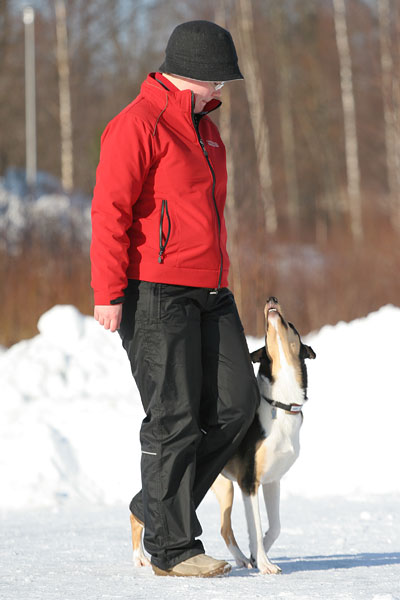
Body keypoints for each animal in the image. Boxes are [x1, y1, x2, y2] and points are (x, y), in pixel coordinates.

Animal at [129, 296, 316, 574]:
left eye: (290, 325)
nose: (271, 299)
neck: (279, 403)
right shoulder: (249, 482)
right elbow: (257, 526)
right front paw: (265, 564)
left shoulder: (272, 480)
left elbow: (275, 527)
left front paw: (255, 556)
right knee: (143, 512)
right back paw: (140, 556)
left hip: (224, 486)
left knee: (225, 529)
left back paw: (241, 559)